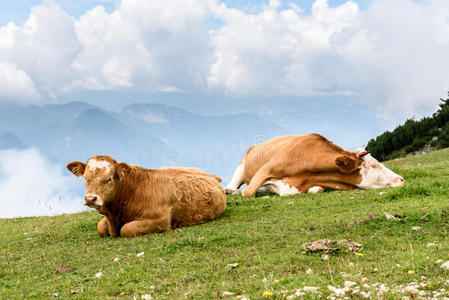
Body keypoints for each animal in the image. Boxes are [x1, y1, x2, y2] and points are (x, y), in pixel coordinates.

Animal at [65, 156, 228, 238]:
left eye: (109, 178)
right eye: (86, 178)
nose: (90, 199)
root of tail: (213, 176)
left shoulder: (161, 220)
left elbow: (126, 229)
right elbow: (100, 227)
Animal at [226, 134, 404, 197]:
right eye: (374, 166)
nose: (401, 179)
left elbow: (318, 189)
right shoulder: (265, 169)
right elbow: (248, 192)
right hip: (241, 167)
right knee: (233, 186)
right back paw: (229, 191)